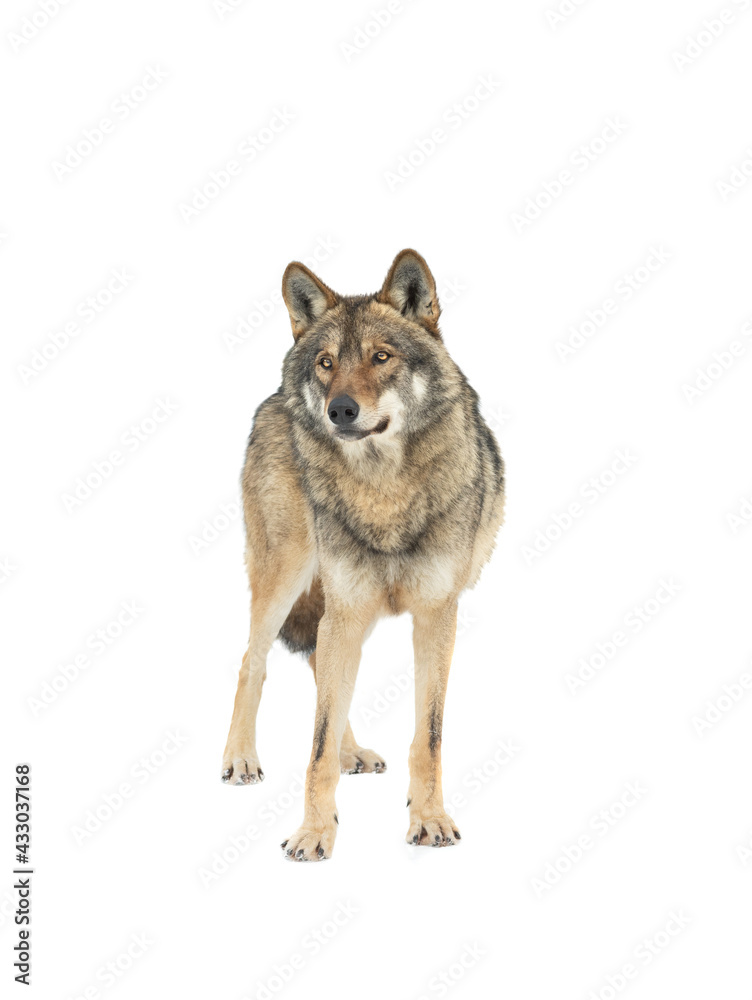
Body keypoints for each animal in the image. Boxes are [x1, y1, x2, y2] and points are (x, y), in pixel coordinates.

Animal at [221, 249, 504, 860]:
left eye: (381, 357)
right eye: (327, 363)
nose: (340, 410)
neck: (384, 493)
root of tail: (275, 398)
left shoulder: (435, 616)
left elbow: (427, 737)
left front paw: (429, 820)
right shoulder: (348, 609)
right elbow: (316, 745)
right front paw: (314, 832)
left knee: (316, 667)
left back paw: (352, 752)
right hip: (289, 577)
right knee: (255, 660)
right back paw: (240, 759)